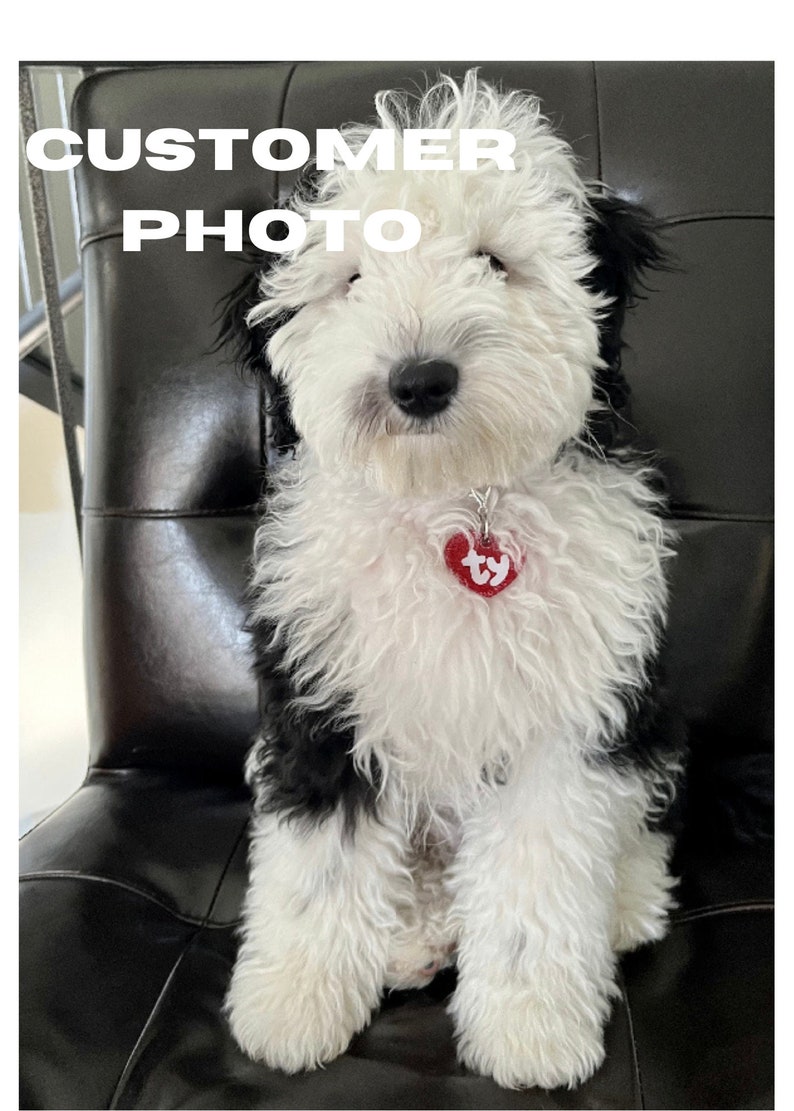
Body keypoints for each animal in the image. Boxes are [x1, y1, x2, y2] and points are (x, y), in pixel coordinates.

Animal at [220, 73, 688, 1088]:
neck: (452, 501)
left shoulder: (565, 716)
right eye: (353, 278)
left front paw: (528, 1025)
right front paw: (294, 1002)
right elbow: (319, 865)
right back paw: (412, 937)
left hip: (645, 714)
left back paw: (624, 900)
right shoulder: (322, 699)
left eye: (494, 261)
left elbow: (538, 877)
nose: (420, 379)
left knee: (634, 819)